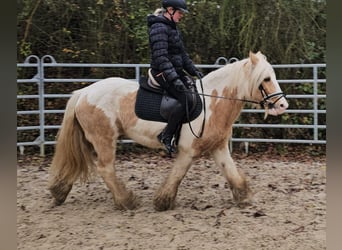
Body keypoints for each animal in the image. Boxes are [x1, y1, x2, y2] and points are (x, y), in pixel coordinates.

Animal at [48, 50, 288, 211]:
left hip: (91, 140)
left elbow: (231, 172)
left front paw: (244, 197)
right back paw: (127, 201)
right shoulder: (188, 151)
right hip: (104, 139)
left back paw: (59, 192)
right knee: (105, 169)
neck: (213, 102)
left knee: (77, 163)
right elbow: (177, 175)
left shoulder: (218, 148)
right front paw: (163, 202)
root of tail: (84, 93)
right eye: (266, 79)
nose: (283, 105)